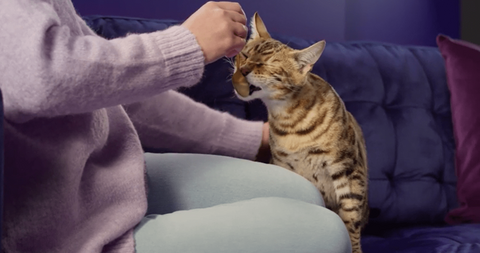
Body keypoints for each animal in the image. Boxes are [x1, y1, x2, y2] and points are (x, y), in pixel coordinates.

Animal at [232, 12, 372, 253]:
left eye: (265, 64)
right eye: (245, 54)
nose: (243, 70)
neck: (290, 122)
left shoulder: (348, 170)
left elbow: (350, 220)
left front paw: (353, 247)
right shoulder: (283, 166)